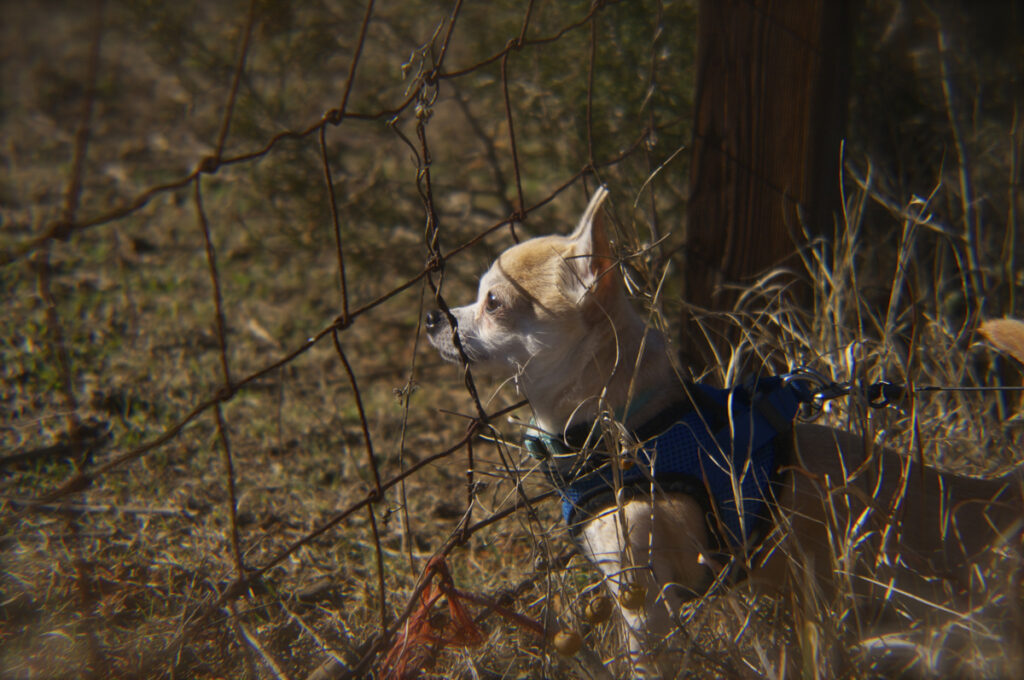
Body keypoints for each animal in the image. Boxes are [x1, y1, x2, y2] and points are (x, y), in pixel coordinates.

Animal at [426, 187, 1023, 677]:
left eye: (494, 303)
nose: (433, 318)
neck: (635, 427)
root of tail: (993, 495)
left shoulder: (645, 600)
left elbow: (644, 663)